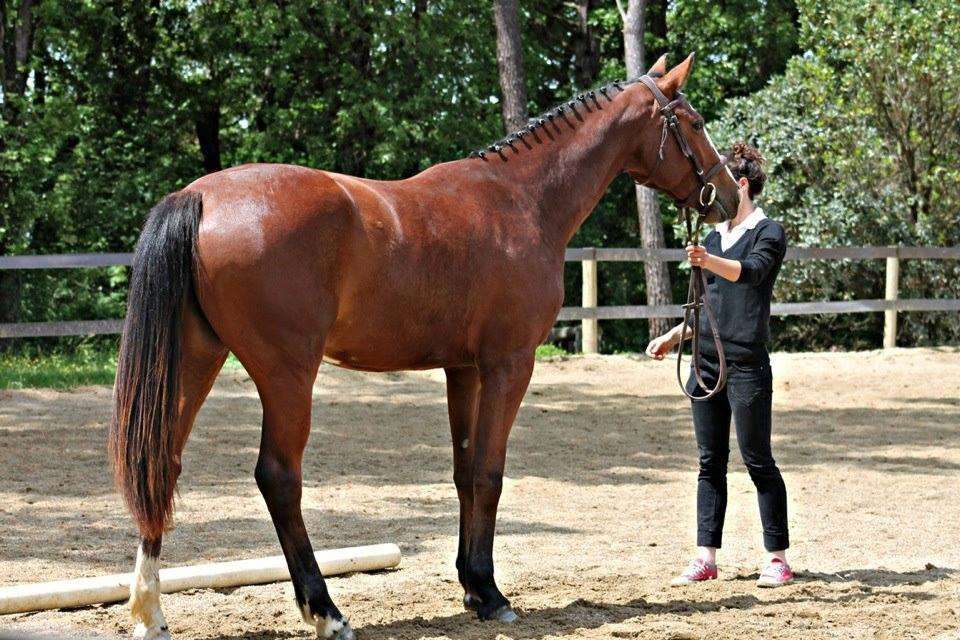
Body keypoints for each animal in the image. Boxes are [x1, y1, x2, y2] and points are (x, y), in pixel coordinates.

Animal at [108, 53, 737, 640]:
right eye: (695, 122)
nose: (730, 196)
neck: (523, 200)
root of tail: (198, 197)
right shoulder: (509, 364)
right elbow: (489, 472)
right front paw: (492, 595)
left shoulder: (463, 369)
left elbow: (464, 472)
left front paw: (472, 586)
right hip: (287, 374)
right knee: (278, 477)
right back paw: (326, 612)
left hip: (196, 360)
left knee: (160, 463)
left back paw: (150, 613)